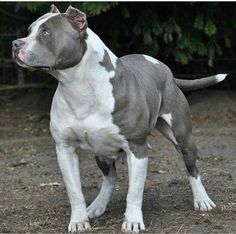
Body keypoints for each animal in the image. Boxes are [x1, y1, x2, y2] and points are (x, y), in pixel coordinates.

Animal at [12, 4, 226, 233]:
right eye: (29, 30)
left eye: (46, 33)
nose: (15, 43)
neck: (78, 87)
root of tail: (164, 67)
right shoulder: (64, 149)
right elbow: (74, 191)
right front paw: (79, 221)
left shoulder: (137, 148)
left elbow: (134, 192)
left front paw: (132, 221)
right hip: (102, 151)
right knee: (110, 177)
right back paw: (97, 205)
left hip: (182, 135)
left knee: (192, 167)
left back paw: (202, 200)